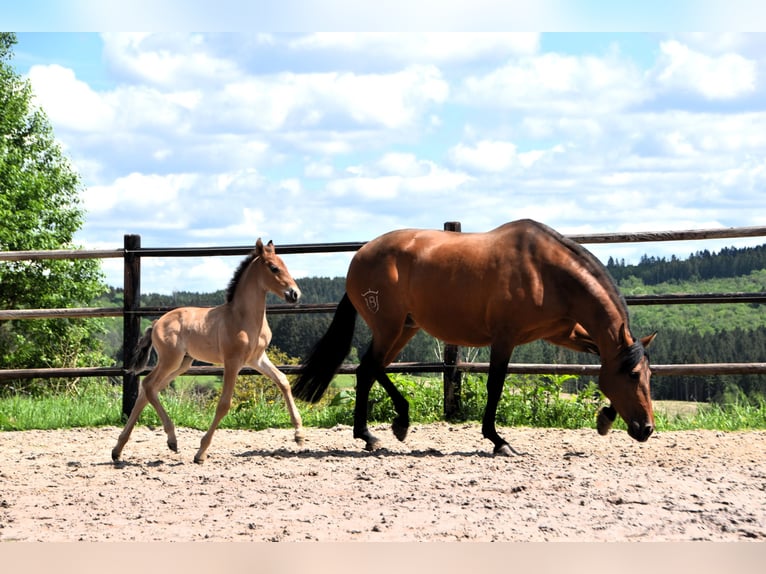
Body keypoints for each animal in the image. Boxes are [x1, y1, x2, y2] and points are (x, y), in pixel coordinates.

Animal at [114, 241, 306, 466]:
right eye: (274, 268)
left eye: (285, 265)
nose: (294, 294)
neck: (243, 317)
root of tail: (156, 323)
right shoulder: (232, 362)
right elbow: (224, 404)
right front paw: (201, 452)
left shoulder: (257, 359)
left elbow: (283, 381)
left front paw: (299, 435)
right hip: (171, 360)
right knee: (148, 385)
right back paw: (172, 440)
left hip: (182, 364)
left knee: (146, 391)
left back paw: (118, 450)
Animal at [296, 220, 656, 460]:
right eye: (633, 375)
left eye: (649, 376)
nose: (647, 429)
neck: (545, 271)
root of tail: (359, 257)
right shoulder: (505, 338)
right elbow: (495, 385)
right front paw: (499, 441)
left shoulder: (563, 333)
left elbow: (602, 360)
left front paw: (605, 418)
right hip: (389, 327)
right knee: (369, 367)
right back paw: (373, 434)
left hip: (405, 327)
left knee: (371, 369)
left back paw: (391, 426)